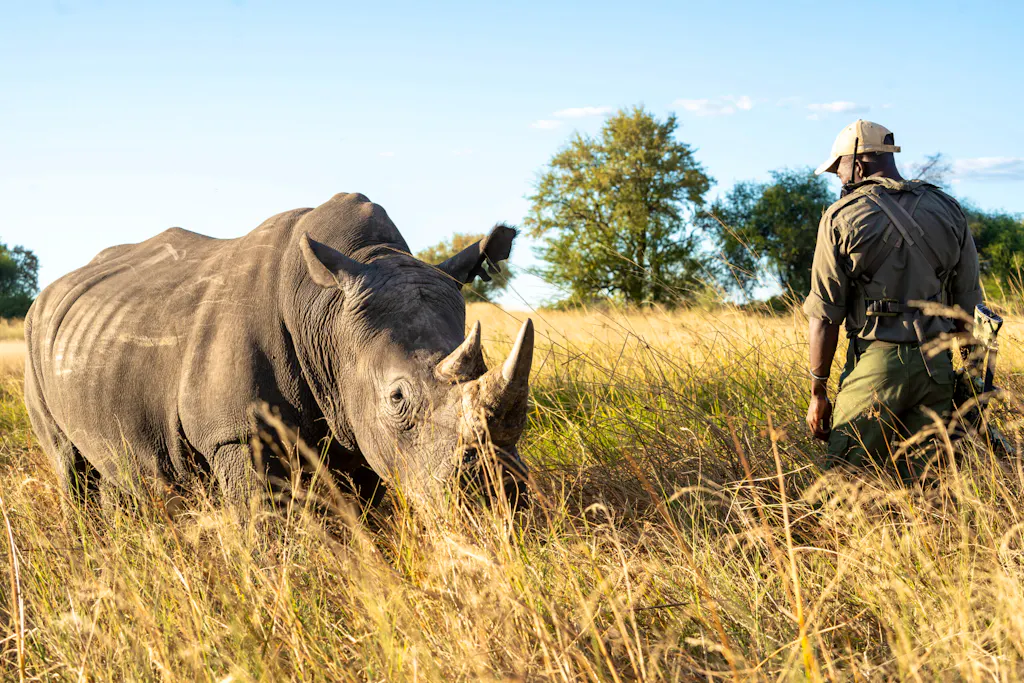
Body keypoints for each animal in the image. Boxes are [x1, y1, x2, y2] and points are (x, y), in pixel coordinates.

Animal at [24, 192, 533, 512]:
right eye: (397, 397)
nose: (501, 497)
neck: (327, 315)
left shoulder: (353, 424)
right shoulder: (236, 432)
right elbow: (266, 528)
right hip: (33, 339)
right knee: (70, 469)